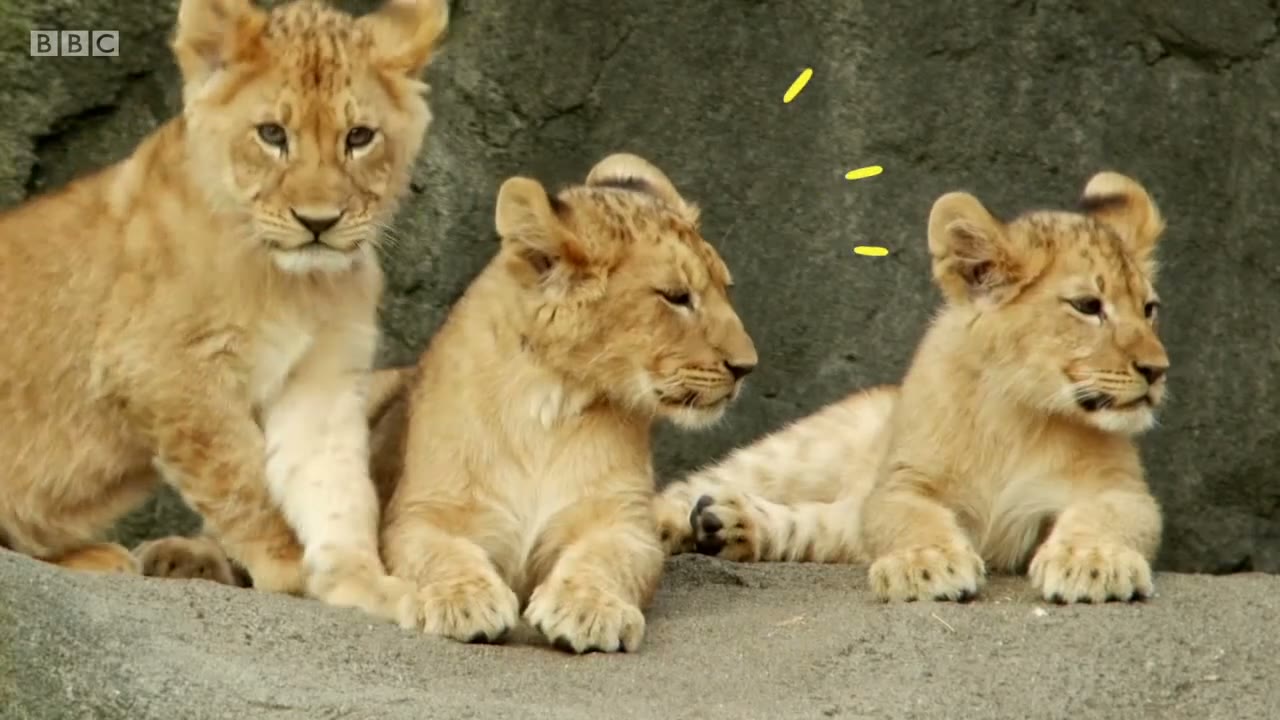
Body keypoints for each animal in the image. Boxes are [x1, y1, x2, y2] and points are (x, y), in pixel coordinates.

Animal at [0, 0, 448, 623]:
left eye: (359, 137)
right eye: (271, 134)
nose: (318, 222)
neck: (294, 284)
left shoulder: (323, 378)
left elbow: (338, 490)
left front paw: (362, 584)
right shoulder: (163, 367)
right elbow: (243, 480)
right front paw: (289, 568)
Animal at [377, 153, 758, 652]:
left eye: (725, 289)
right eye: (676, 297)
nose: (747, 366)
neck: (548, 401)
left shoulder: (624, 522)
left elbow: (604, 559)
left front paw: (588, 611)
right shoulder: (420, 514)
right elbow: (443, 553)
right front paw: (463, 602)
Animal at [657, 171, 1170, 605]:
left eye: (1148, 309)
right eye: (1088, 306)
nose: (1157, 369)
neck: (1020, 414)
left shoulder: (1123, 489)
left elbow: (1107, 516)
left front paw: (1092, 562)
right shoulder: (901, 481)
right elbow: (911, 518)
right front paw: (928, 565)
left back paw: (725, 524)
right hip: (802, 452)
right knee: (694, 484)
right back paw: (668, 524)